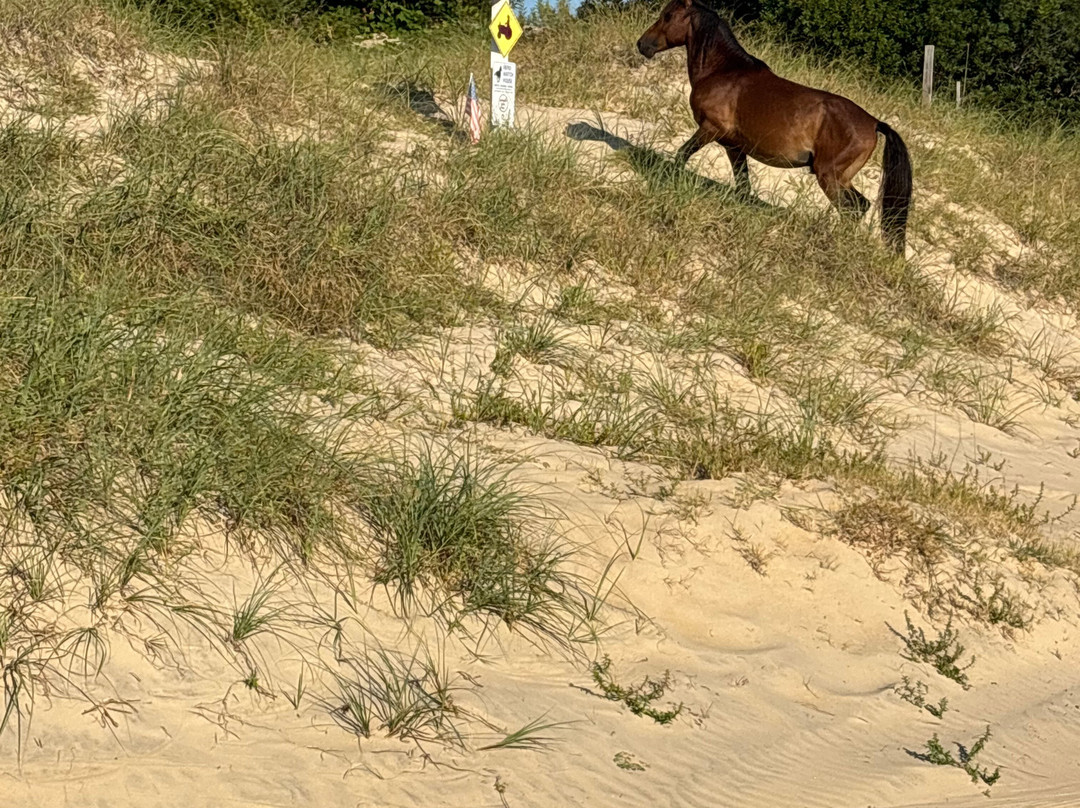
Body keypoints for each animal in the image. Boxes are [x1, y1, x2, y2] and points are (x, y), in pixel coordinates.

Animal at [636, 0, 913, 254]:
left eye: (668, 16)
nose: (642, 44)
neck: (722, 72)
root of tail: (874, 122)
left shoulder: (710, 129)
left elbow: (682, 153)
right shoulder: (734, 147)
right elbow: (743, 186)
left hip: (830, 175)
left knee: (852, 208)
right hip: (840, 177)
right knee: (860, 206)